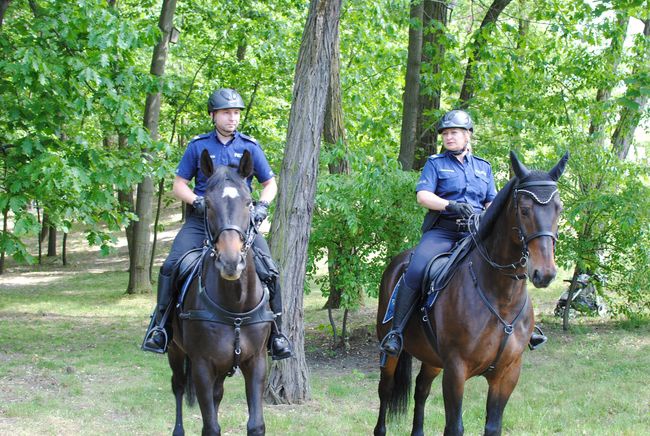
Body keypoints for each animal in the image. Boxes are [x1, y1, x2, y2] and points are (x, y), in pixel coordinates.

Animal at [167, 149, 274, 436]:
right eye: (208, 204)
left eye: (249, 203)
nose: (230, 262)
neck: (235, 305)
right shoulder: (202, 366)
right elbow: (210, 426)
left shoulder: (256, 362)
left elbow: (255, 424)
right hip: (175, 351)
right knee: (178, 387)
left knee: (216, 395)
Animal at [374, 151, 568, 436]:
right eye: (524, 210)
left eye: (559, 209)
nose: (544, 273)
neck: (501, 297)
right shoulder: (456, 370)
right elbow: (454, 427)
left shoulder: (507, 374)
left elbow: (493, 426)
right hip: (391, 351)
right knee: (385, 391)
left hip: (433, 358)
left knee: (421, 389)